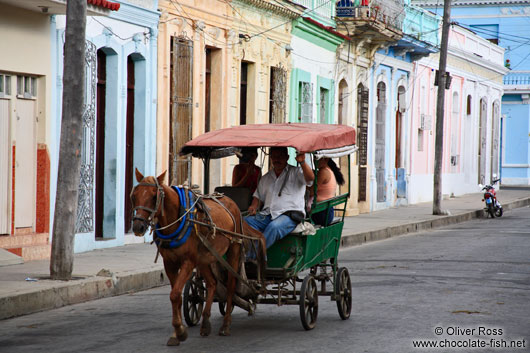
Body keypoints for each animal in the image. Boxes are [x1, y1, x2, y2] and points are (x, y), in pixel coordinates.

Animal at [130, 169, 266, 346]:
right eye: (134, 195)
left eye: (154, 196)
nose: (138, 226)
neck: (178, 219)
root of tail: (232, 203)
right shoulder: (170, 263)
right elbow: (176, 296)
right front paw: (177, 333)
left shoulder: (188, 261)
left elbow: (175, 294)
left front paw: (180, 332)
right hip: (206, 258)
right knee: (212, 283)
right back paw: (206, 323)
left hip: (233, 251)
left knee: (230, 285)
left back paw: (225, 325)